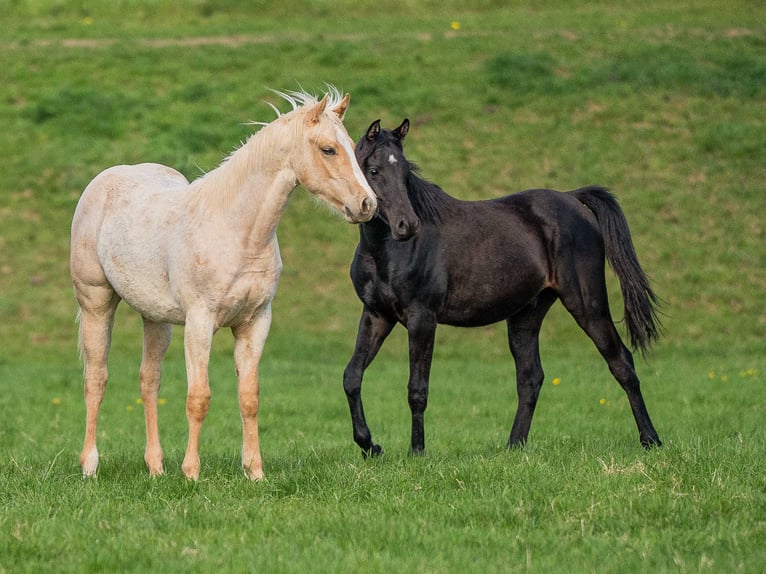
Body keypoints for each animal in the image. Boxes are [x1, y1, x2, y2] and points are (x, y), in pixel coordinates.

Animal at [70, 86, 377, 480]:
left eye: (351, 146)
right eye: (327, 149)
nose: (367, 204)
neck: (238, 230)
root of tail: (104, 180)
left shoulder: (255, 323)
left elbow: (249, 398)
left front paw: (255, 472)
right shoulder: (200, 322)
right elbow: (198, 398)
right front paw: (191, 473)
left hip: (155, 319)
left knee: (149, 380)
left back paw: (156, 467)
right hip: (96, 303)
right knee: (96, 379)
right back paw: (90, 465)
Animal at [343, 118, 662, 458]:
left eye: (405, 171)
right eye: (373, 170)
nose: (407, 225)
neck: (386, 252)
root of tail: (574, 198)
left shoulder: (422, 319)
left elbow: (417, 389)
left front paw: (417, 451)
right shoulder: (377, 315)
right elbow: (352, 376)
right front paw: (369, 445)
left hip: (588, 305)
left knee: (621, 362)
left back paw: (650, 439)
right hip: (527, 315)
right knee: (531, 378)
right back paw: (514, 446)